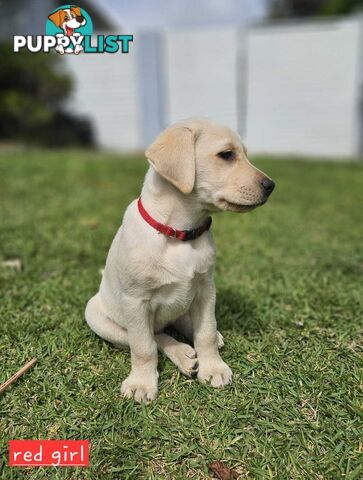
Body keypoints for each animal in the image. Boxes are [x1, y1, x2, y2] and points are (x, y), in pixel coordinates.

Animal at [86, 117, 276, 402]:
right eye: (226, 155)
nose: (271, 186)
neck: (178, 233)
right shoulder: (136, 301)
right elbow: (143, 346)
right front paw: (142, 383)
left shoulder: (206, 288)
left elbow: (205, 331)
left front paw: (213, 367)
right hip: (98, 316)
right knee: (155, 335)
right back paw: (183, 354)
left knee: (179, 323)